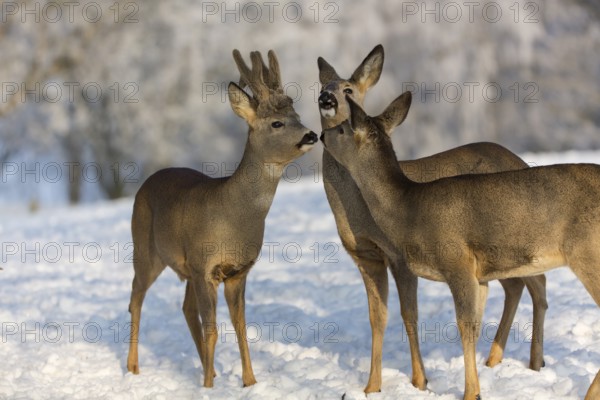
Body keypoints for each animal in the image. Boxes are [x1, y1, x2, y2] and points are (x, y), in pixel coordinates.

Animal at [126, 49, 318, 388]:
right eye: (277, 123)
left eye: (298, 116)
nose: (311, 135)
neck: (233, 217)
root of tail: (147, 182)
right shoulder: (205, 266)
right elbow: (213, 329)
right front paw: (208, 388)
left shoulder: (237, 271)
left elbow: (240, 327)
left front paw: (249, 382)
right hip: (145, 249)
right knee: (135, 298)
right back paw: (133, 368)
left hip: (186, 269)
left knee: (185, 308)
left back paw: (210, 369)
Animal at [318, 43, 548, 390]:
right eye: (320, 86)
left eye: (348, 90)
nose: (326, 100)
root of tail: (519, 161)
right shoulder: (365, 257)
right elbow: (377, 318)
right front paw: (372, 387)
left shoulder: (398, 256)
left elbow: (408, 315)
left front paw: (420, 381)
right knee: (516, 286)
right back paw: (496, 359)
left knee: (537, 284)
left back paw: (534, 362)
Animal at [322, 92, 600, 398]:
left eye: (342, 129)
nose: (321, 135)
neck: (407, 208)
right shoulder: (478, 275)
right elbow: (474, 327)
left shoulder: (457, 262)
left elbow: (464, 327)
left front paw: (471, 392)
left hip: (588, 251)